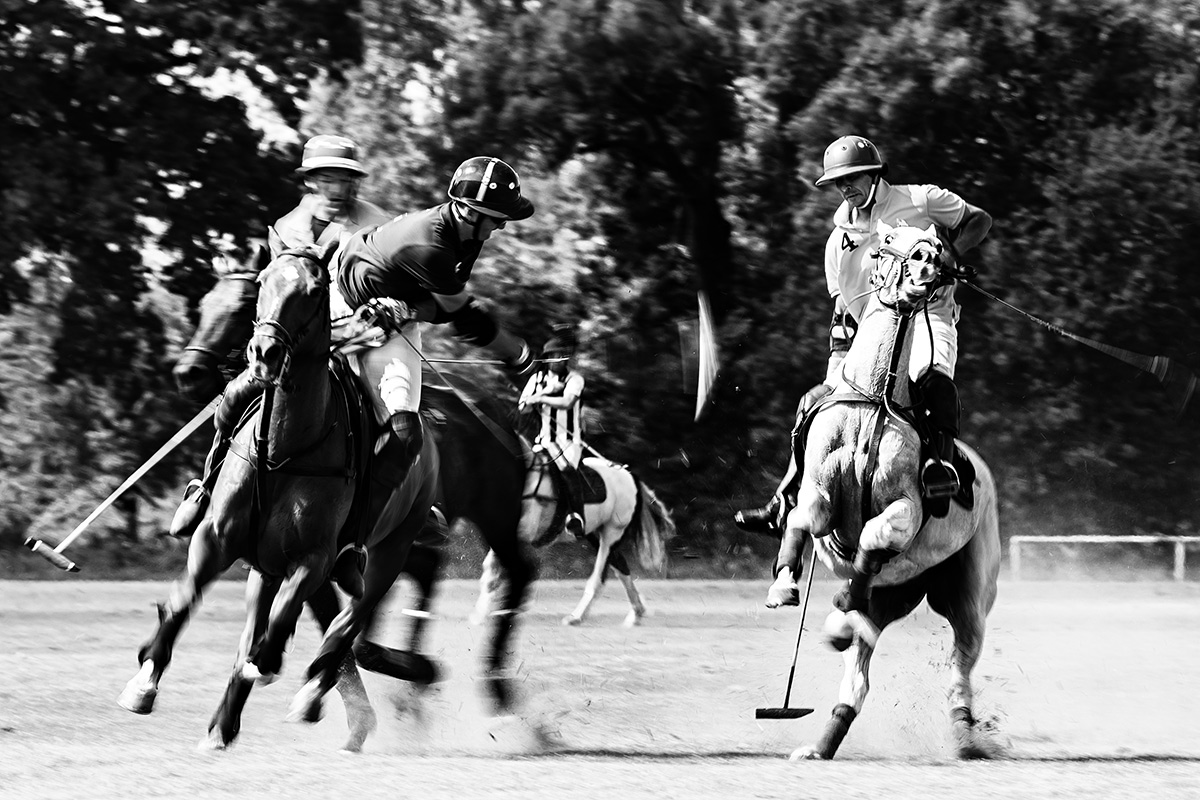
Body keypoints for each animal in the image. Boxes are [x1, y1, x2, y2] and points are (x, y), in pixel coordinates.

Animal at [474, 445, 676, 627]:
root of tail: (629, 475)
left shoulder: (521, 530)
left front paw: (485, 614)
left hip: (612, 532)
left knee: (599, 576)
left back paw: (577, 616)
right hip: (594, 533)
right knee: (621, 565)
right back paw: (636, 612)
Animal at [778, 222, 1001, 761]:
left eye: (936, 244)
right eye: (886, 245)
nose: (928, 264)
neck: (874, 398)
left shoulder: (906, 508)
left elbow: (877, 534)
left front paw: (840, 605)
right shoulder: (818, 489)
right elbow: (807, 514)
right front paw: (785, 584)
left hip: (968, 590)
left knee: (959, 660)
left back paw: (965, 735)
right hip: (898, 594)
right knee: (858, 675)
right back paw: (820, 743)